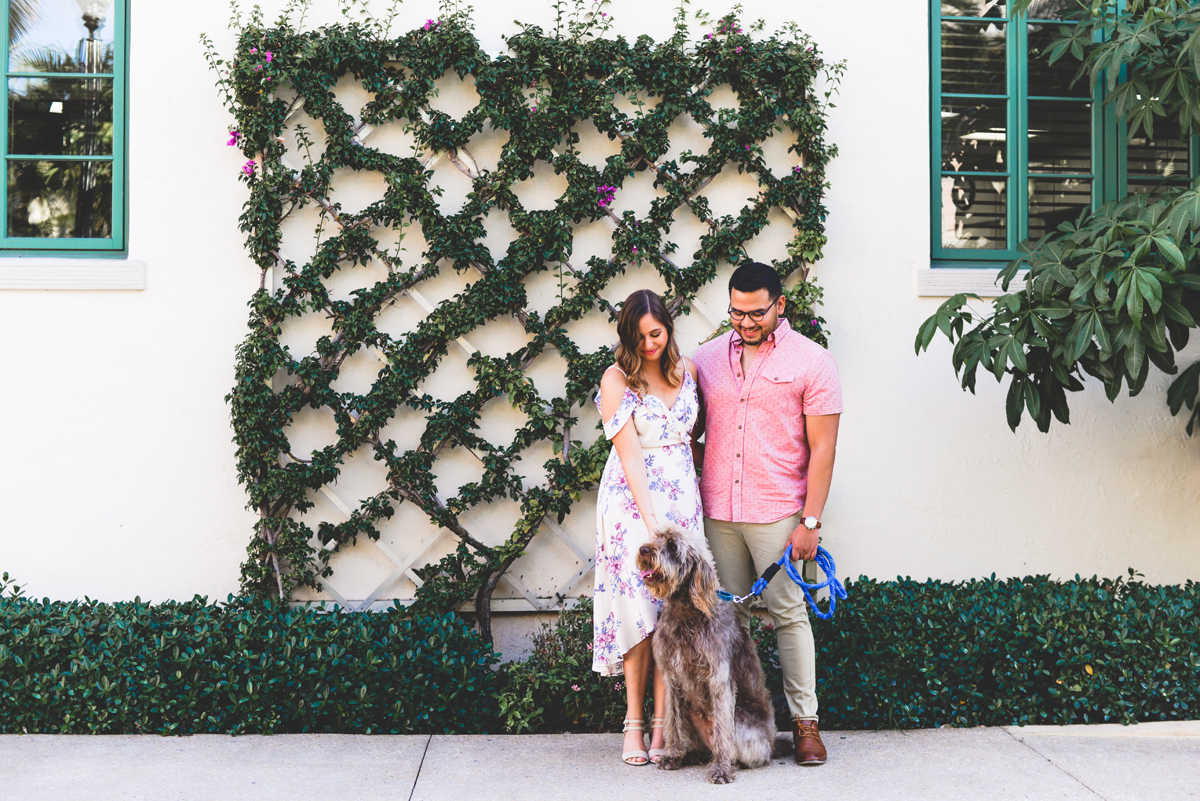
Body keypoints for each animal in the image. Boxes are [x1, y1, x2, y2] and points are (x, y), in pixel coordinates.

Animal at [638, 525, 777, 781]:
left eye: (672, 545)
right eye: (656, 538)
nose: (644, 549)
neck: (685, 610)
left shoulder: (719, 679)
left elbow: (722, 730)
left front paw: (722, 768)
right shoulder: (672, 679)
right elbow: (672, 721)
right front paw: (672, 755)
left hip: (742, 719)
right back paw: (692, 754)